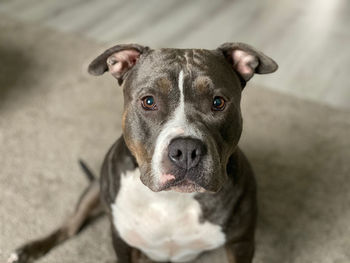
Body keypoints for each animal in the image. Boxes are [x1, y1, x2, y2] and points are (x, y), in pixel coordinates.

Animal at [6, 42, 278, 262]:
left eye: (218, 102)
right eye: (148, 101)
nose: (186, 149)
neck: (171, 200)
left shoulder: (241, 244)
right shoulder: (121, 241)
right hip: (94, 189)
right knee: (70, 227)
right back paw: (27, 250)